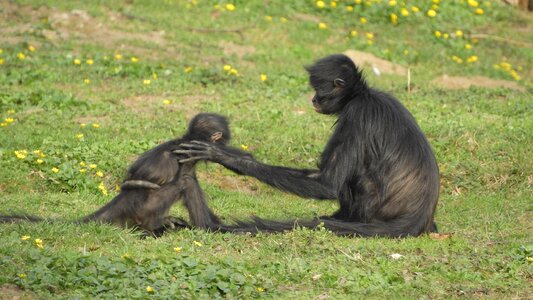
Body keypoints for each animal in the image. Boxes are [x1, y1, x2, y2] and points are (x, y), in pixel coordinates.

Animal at [1, 112, 243, 237]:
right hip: (145, 209)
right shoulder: (187, 159)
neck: (187, 140)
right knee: (186, 182)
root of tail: (123, 201)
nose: (226, 144)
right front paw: (213, 227)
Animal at [179, 54, 440, 237]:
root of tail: (419, 216)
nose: (313, 99)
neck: (361, 95)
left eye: (318, 90)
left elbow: (327, 183)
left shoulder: (356, 115)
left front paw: (224, 156)